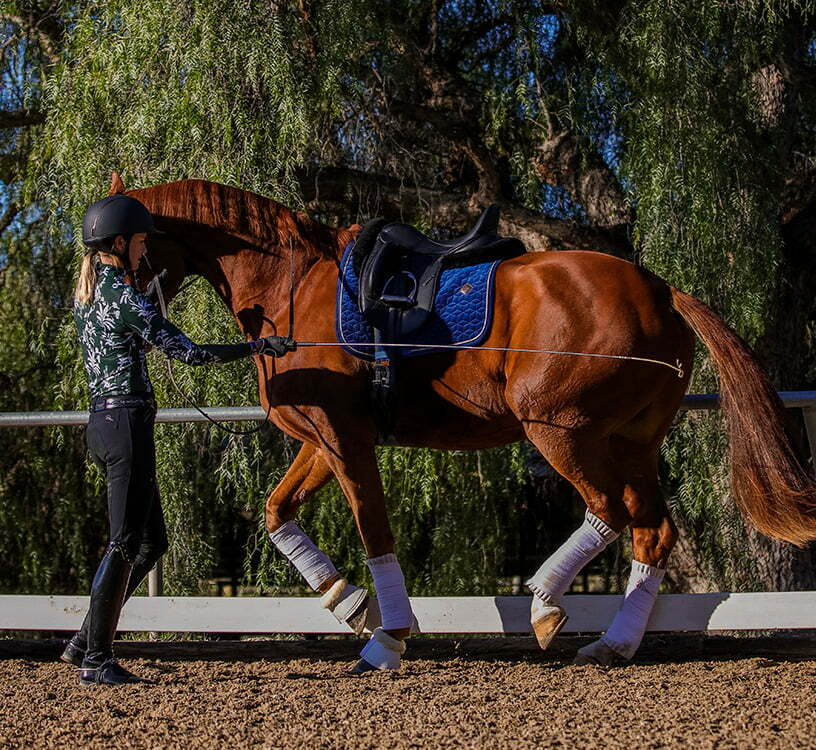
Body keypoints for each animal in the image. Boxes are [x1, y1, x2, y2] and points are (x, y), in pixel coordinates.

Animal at [115, 172, 816, 670]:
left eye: (113, 254)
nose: (105, 306)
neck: (291, 285)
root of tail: (662, 291)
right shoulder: (323, 440)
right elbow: (276, 512)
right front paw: (346, 601)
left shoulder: (346, 441)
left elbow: (374, 531)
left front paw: (389, 639)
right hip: (630, 441)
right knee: (653, 531)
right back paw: (613, 642)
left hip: (560, 430)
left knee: (610, 511)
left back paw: (545, 602)